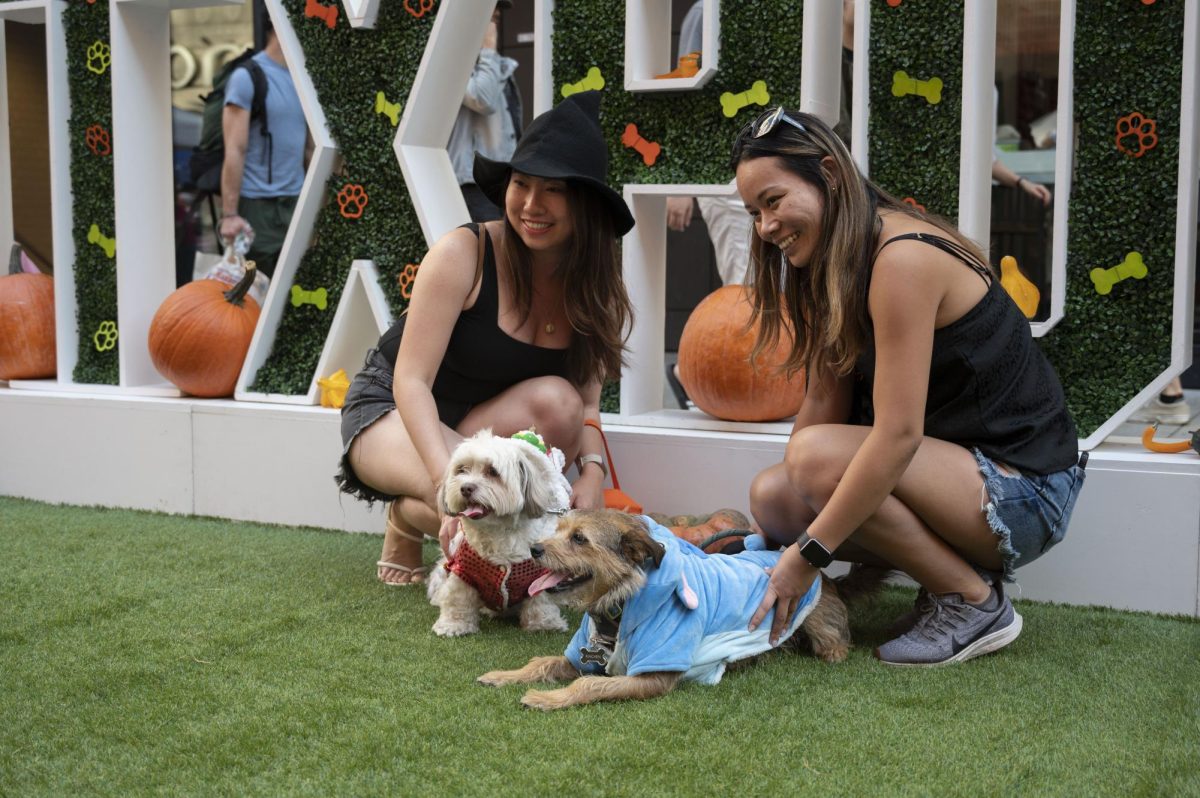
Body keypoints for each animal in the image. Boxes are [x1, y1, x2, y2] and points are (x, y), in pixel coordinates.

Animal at [424, 429, 573, 633]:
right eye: (462, 470)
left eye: (492, 472)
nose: (466, 487)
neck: (497, 532)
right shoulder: (463, 569)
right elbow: (458, 597)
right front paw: (453, 625)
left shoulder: (540, 571)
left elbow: (540, 599)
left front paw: (543, 624)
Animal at [477, 511, 873, 710]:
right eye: (557, 529)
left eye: (579, 538)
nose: (534, 548)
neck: (618, 609)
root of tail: (824, 576)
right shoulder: (581, 655)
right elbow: (541, 662)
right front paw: (503, 675)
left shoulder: (654, 674)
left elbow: (589, 683)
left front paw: (545, 698)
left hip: (816, 617)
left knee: (835, 641)